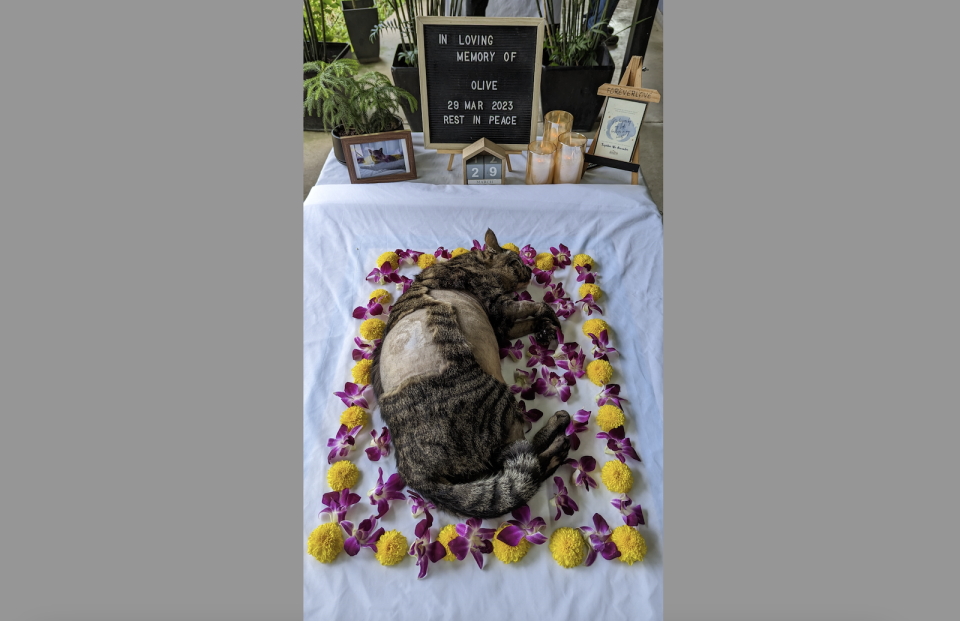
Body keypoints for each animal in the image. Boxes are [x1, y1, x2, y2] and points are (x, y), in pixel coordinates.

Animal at [372, 230, 568, 516]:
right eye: (517, 261)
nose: (531, 271)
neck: (470, 261)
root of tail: (413, 470)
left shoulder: (501, 324)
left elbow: (527, 320)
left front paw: (544, 328)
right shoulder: (500, 305)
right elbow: (534, 305)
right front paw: (549, 317)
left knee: (516, 461)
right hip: (498, 401)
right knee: (523, 459)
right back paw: (559, 435)